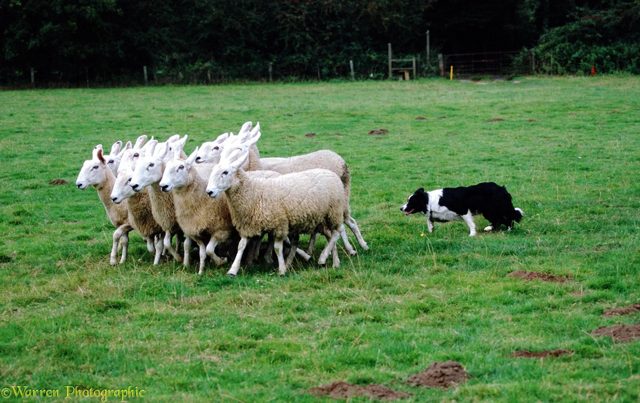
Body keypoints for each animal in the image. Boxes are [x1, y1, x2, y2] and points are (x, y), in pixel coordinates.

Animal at [158, 142, 238, 274]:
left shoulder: (222, 230)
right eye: (167, 166)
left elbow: (209, 250)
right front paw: (201, 270)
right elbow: (203, 252)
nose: (163, 186)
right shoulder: (196, 232)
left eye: (181, 167)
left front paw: (221, 261)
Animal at [205, 133, 344, 278]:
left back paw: (323, 257)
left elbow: (277, 248)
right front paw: (233, 269)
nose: (209, 192)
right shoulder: (248, 224)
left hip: (334, 211)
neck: (254, 192)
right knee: (330, 236)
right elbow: (241, 246)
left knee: (337, 232)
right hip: (319, 217)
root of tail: (331, 173)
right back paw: (333, 261)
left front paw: (281, 269)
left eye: (225, 172)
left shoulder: (279, 225)